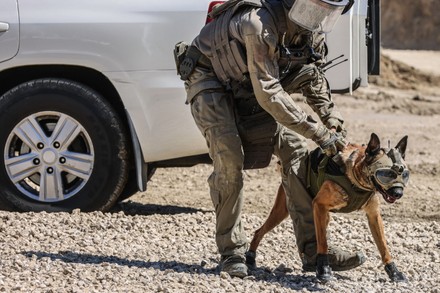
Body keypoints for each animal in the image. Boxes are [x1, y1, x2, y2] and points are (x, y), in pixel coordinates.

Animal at [248, 133, 410, 282]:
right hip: (284, 211)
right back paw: (250, 258)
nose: (398, 193)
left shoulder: (373, 216)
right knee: (259, 231)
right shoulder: (319, 205)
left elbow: (383, 246)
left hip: (323, 216)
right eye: (386, 173)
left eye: (404, 174)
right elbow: (323, 243)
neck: (357, 177)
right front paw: (323, 269)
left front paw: (394, 271)